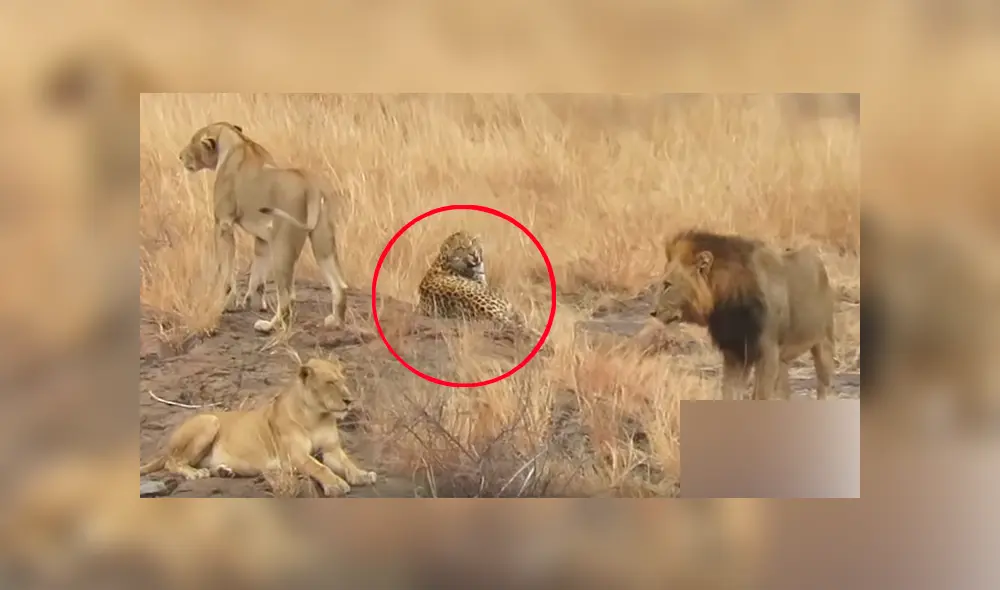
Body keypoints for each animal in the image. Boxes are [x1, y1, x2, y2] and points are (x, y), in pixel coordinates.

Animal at [139, 356, 378, 497]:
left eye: (343, 380)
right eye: (330, 382)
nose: (349, 400)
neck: (316, 415)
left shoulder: (331, 449)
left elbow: (347, 463)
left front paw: (362, 475)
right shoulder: (295, 456)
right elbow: (319, 467)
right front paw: (335, 485)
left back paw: (224, 471)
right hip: (210, 421)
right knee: (172, 462)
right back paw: (195, 474)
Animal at [179, 122, 349, 334]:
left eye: (193, 141)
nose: (180, 156)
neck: (238, 142)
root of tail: (310, 185)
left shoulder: (223, 223)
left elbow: (226, 271)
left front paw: (227, 303)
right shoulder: (263, 237)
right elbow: (258, 276)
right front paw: (253, 303)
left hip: (283, 244)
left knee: (287, 297)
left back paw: (267, 326)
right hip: (322, 240)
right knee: (339, 285)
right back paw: (335, 322)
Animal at [650, 230, 836, 401]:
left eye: (667, 285)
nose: (653, 312)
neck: (726, 304)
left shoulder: (767, 353)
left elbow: (760, 396)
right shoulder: (735, 353)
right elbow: (729, 393)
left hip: (823, 342)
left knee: (823, 384)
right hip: (783, 359)